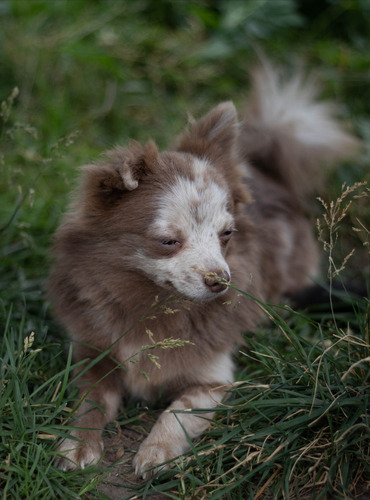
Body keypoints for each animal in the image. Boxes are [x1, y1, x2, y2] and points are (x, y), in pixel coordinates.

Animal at [49, 64, 356, 478]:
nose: (221, 281)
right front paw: (78, 444)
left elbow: (178, 412)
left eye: (226, 235)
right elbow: (91, 401)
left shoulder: (211, 382)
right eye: (167, 241)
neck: (153, 304)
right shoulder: (94, 354)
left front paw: (157, 451)